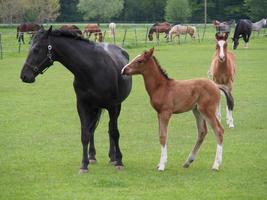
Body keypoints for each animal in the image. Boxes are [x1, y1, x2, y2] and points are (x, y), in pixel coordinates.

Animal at [19, 26, 132, 173]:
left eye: (36, 49)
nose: (24, 76)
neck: (93, 68)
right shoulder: (82, 106)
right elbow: (85, 134)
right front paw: (84, 164)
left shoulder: (113, 106)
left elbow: (114, 132)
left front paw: (119, 161)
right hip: (95, 108)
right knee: (92, 130)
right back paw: (92, 156)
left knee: (109, 130)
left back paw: (112, 157)